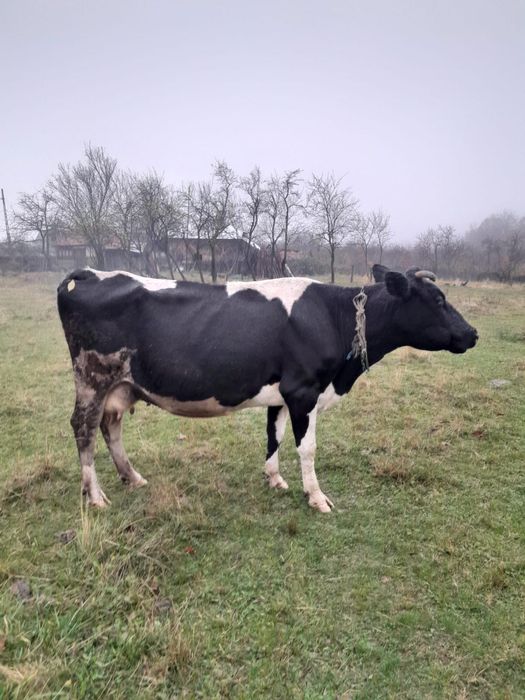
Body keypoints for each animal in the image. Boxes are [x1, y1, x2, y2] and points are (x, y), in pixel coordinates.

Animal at [57, 265, 478, 513]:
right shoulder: (304, 391)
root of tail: (90, 272)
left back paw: (132, 477)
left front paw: (274, 478)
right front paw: (316, 497)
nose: (473, 333)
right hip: (92, 377)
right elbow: (307, 448)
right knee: (83, 428)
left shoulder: (281, 393)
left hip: (120, 385)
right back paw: (95, 495)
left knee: (110, 426)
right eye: (438, 299)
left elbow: (273, 435)